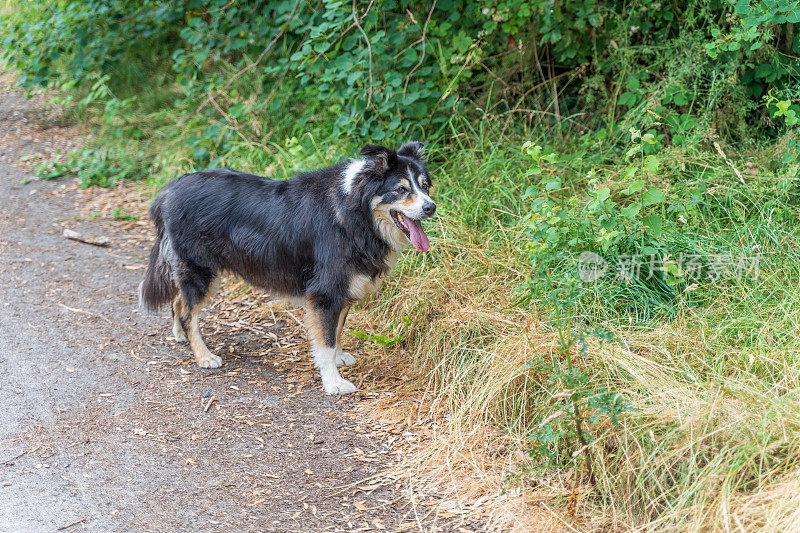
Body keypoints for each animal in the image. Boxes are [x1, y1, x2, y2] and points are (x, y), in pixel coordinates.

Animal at [141, 143, 434, 392]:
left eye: (425, 186)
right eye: (401, 189)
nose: (431, 207)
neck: (355, 213)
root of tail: (168, 190)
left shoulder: (342, 291)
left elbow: (337, 331)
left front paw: (339, 358)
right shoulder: (325, 292)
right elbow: (326, 341)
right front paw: (333, 382)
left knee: (179, 301)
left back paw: (180, 336)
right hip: (200, 270)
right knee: (188, 314)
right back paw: (203, 355)